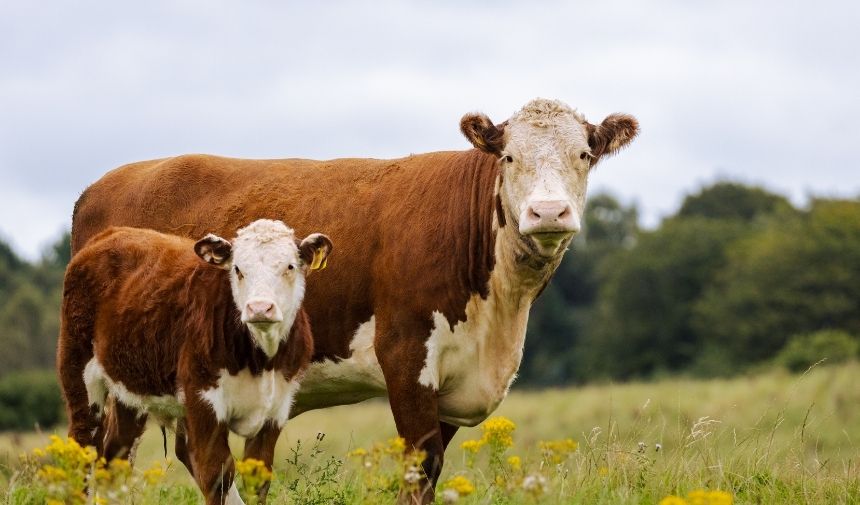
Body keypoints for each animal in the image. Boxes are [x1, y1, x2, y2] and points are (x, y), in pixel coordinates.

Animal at [58, 219, 332, 502]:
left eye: (289, 266)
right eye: (237, 269)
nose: (259, 308)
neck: (260, 360)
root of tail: (111, 233)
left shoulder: (276, 408)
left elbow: (258, 479)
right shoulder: (202, 400)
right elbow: (217, 474)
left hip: (130, 388)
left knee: (115, 457)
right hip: (79, 374)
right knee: (82, 450)